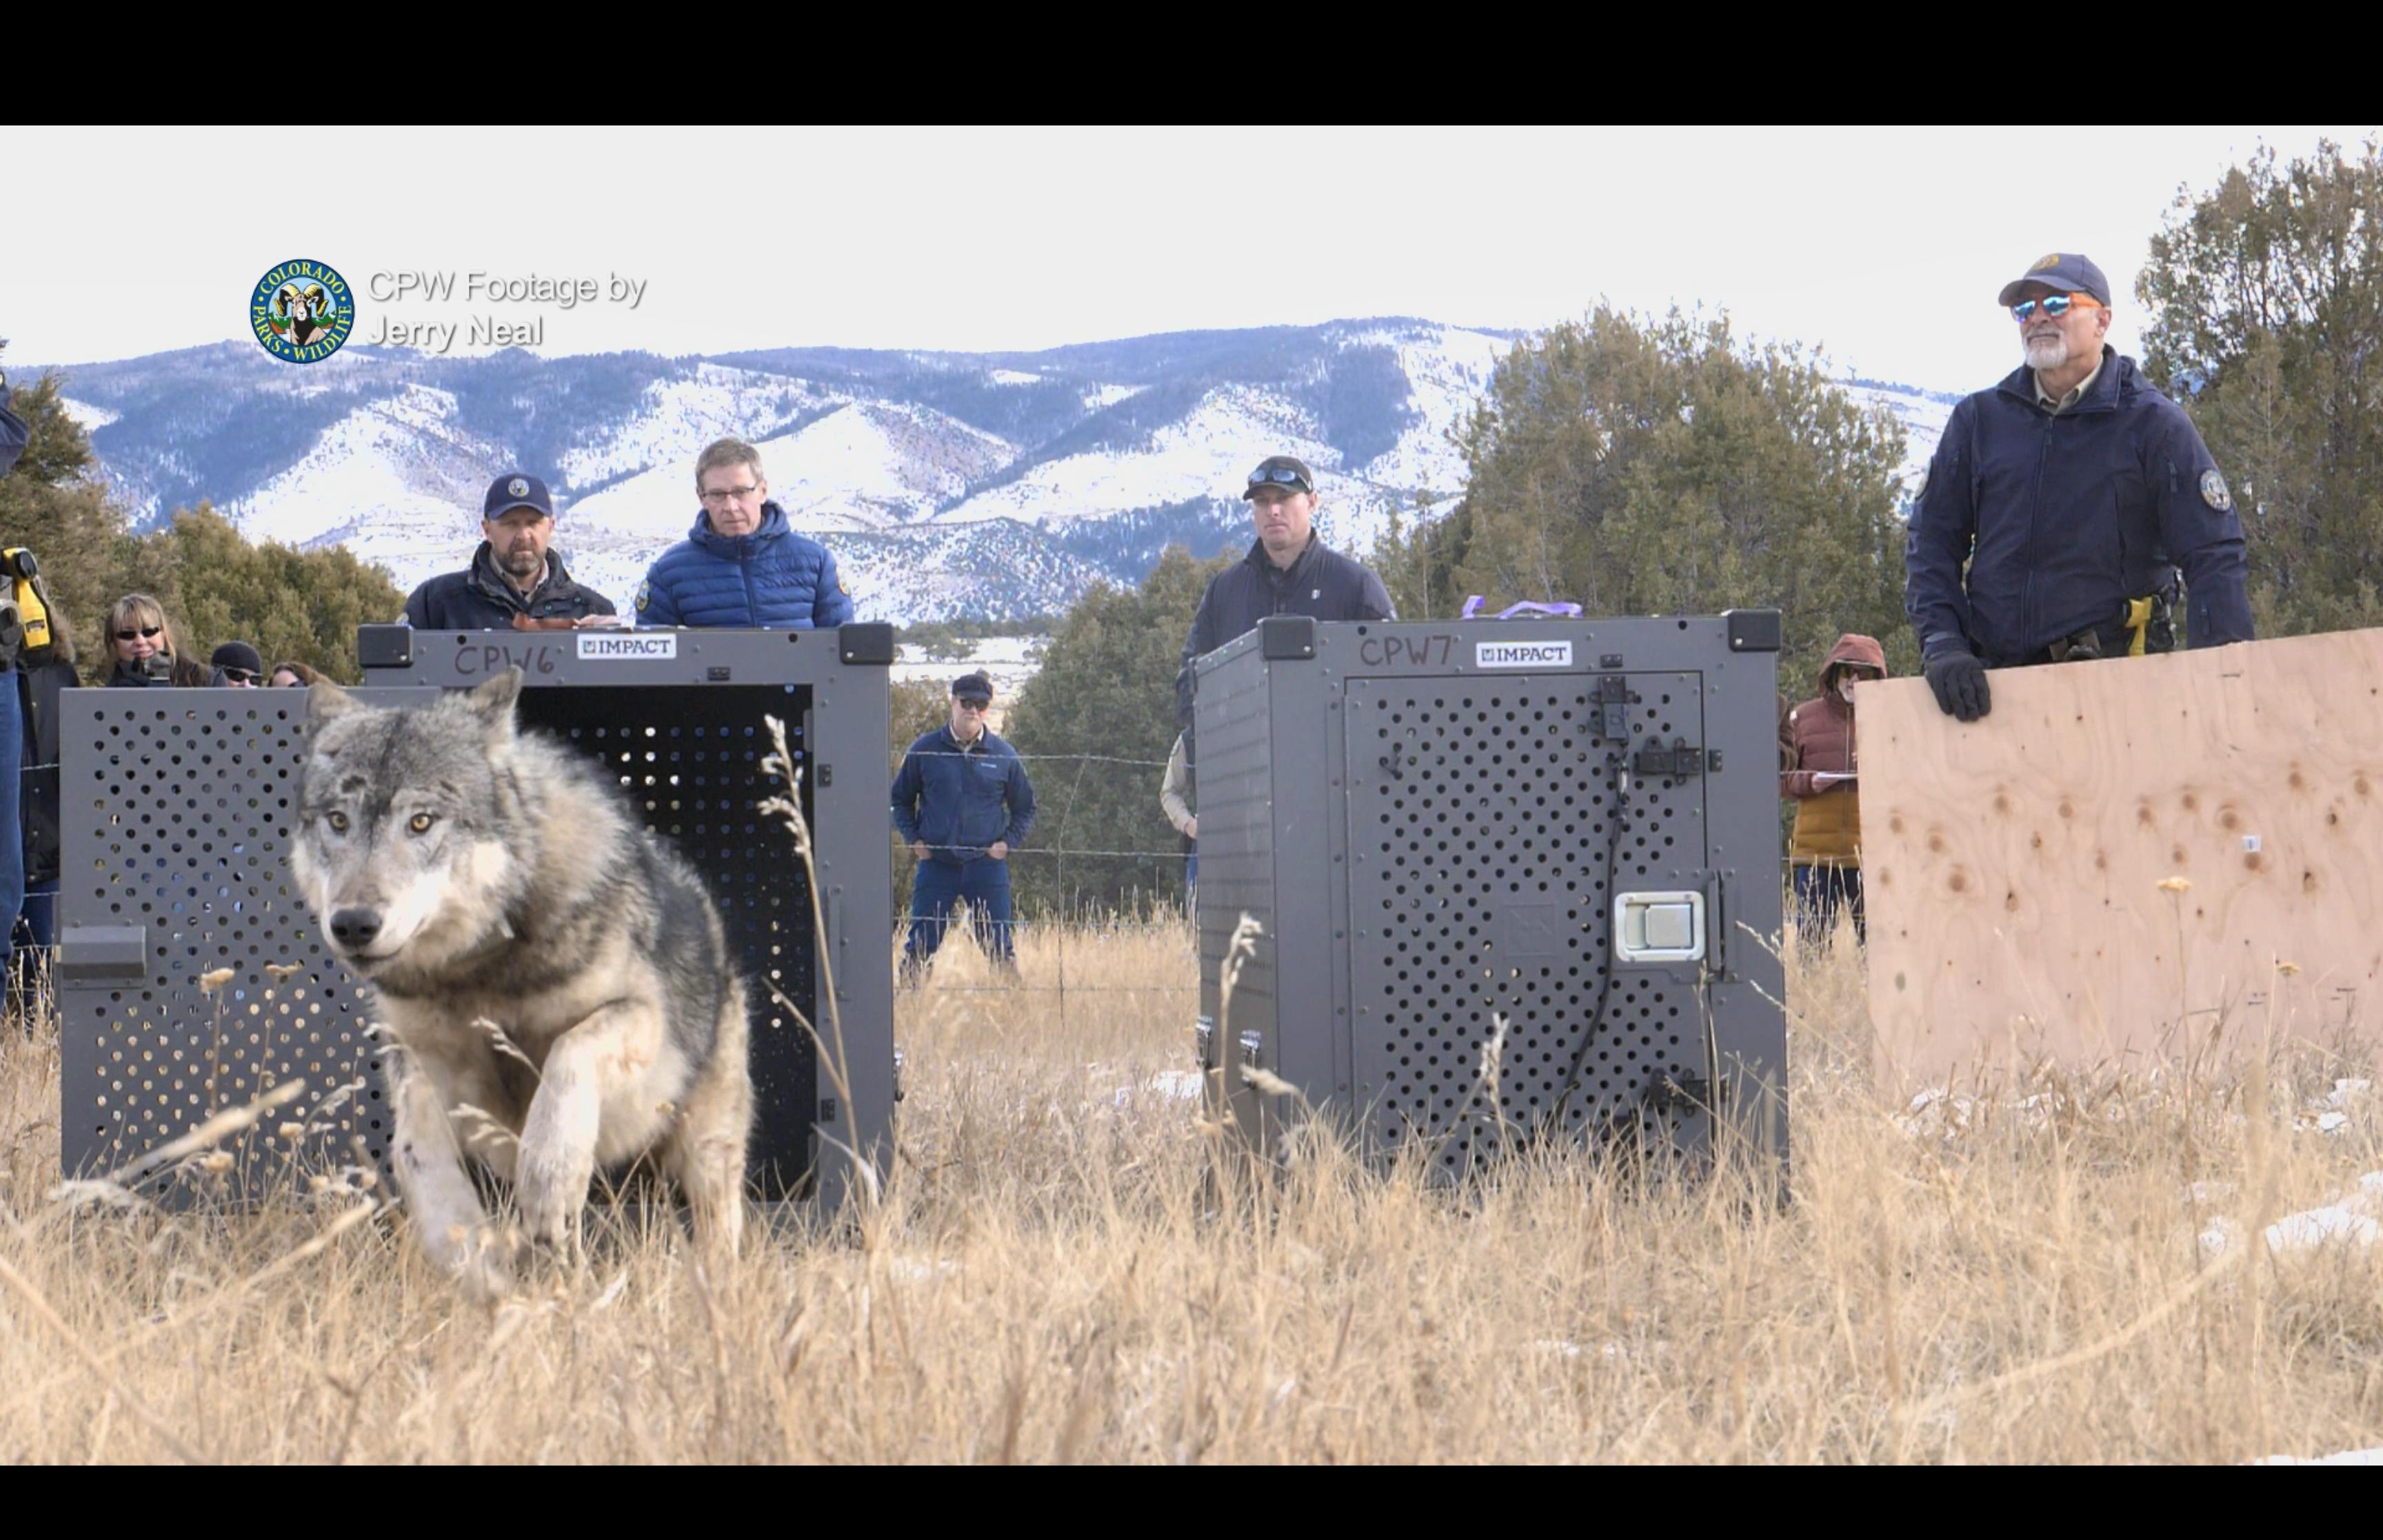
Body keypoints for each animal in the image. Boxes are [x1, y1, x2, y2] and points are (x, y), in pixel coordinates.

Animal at [294, 670, 751, 1297]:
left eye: (421, 821)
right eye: (338, 821)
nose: (354, 925)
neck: (481, 972)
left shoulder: (640, 1019)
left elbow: (569, 1055)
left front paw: (551, 1179)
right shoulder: (420, 1057)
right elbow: (414, 1152)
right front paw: (464, 1248)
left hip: (703, 1150)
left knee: (720, 1227)